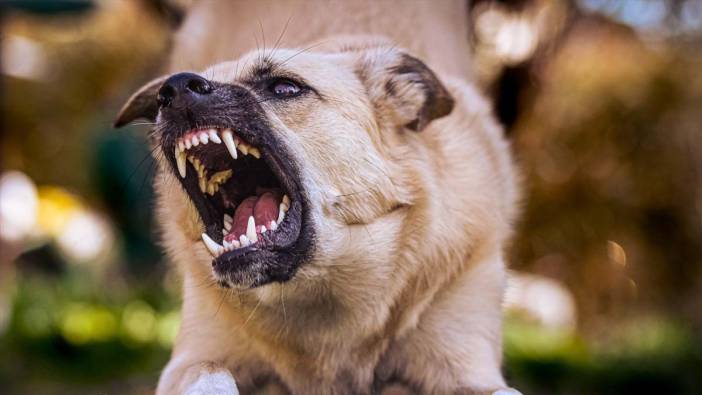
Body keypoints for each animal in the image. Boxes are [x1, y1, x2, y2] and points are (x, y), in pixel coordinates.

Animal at [117, 34, 524, 395]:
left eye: (285, 87)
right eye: (162, 99)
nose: (173, 89)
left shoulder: (470, 367)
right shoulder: (190, 360)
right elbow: (210, 374)